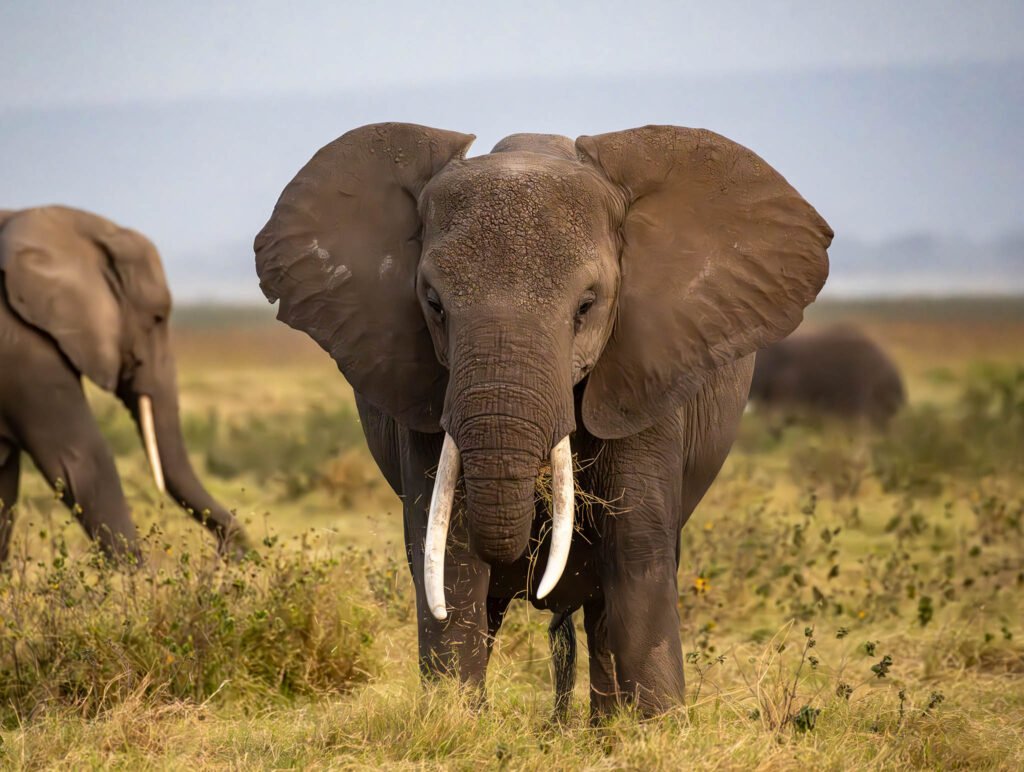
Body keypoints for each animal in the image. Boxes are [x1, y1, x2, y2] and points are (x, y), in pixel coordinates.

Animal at [253, 121, 831, 716]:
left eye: (587, 306)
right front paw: (455, 721)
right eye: (433, 304)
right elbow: (450, 555)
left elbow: (637, 550)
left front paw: (655, 727)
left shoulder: (649, 369)